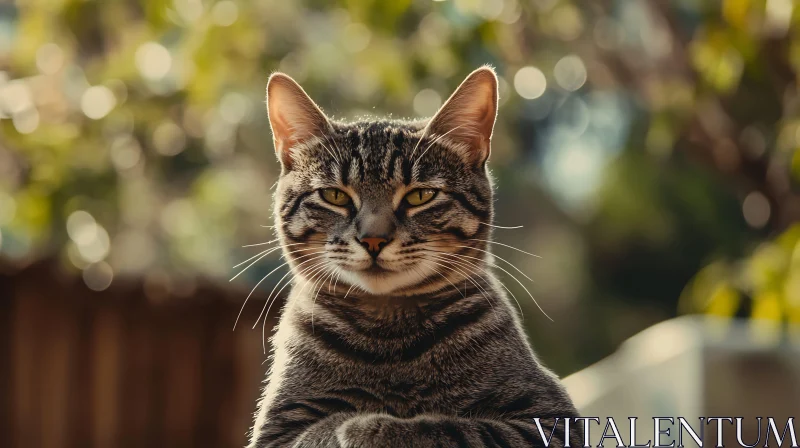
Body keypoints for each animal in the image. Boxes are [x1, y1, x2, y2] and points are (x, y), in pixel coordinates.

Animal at [245, 65, 580, 446]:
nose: (373, 239)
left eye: (420, 196)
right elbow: (320, 429)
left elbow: (451, 429)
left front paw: (367, 425)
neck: (390, 335)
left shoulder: (549, 418)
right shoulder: (278, 429)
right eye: (334, 196)